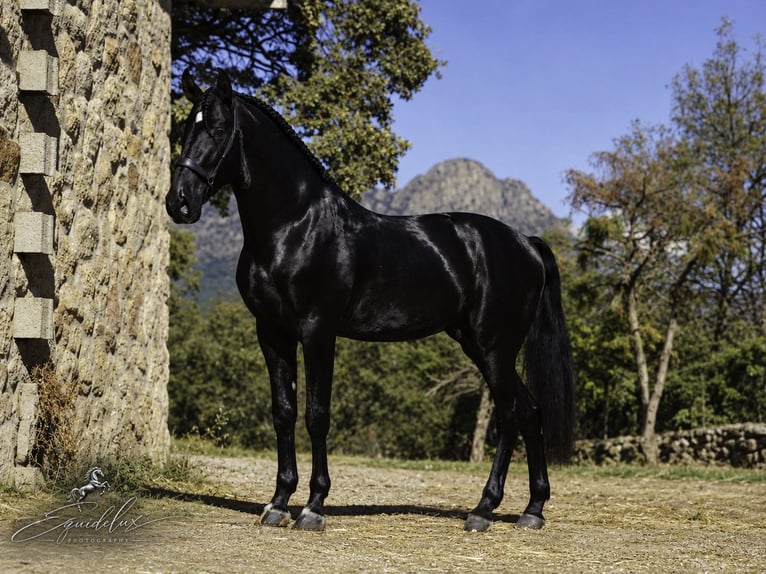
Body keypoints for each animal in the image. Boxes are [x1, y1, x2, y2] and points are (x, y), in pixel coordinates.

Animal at [166, 68, 575, 533]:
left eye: (217, 130)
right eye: (185, 129)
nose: (179, 202)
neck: (296, 225)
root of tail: (526, 243)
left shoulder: (318, 330)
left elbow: (316, 415)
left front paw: (313, 506)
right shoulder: (271, 331)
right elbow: (283, 412)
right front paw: (278, 503)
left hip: (494, 347)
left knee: (510, 413)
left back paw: (483, 510)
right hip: (477, 343)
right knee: (529, 410)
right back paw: (531, 509)